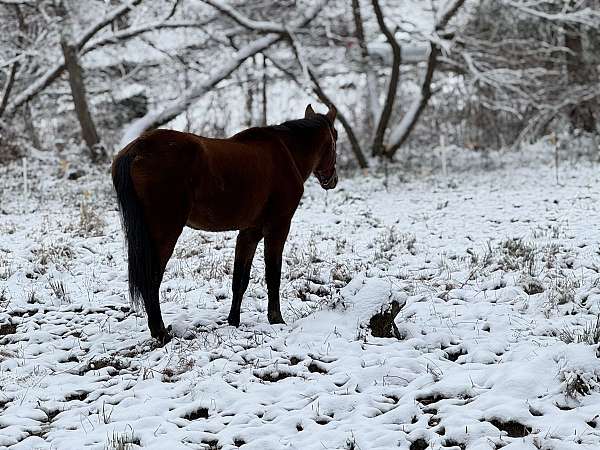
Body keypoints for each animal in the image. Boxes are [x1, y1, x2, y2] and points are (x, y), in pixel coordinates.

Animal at [112, 104, 338, 344]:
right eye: (336, 137)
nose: (332, 180)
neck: (286, 152)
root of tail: (136, 150)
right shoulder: (278, 227)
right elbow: (273, 275)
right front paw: (276, 319)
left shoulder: (250, 232)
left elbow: (240, 279)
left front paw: (233, 320)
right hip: (165, 234)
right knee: (152, 280)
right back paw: (161, 332)